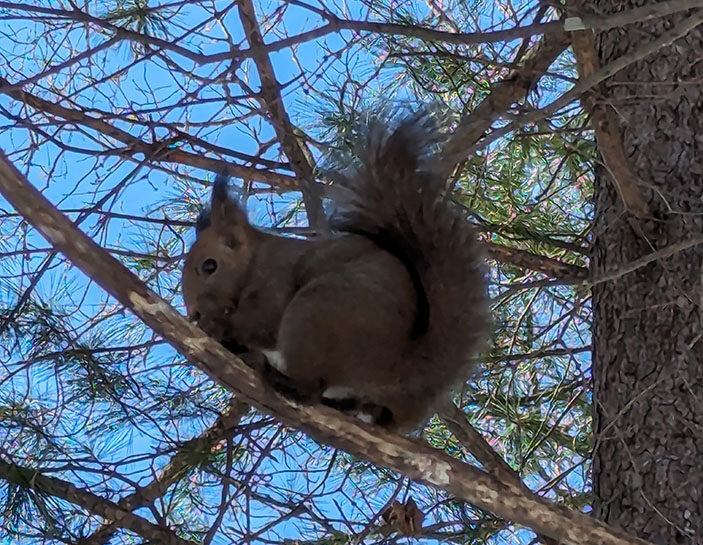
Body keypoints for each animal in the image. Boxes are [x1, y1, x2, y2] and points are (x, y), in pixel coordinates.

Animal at [182, 111, 490, 434]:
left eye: (210, 266)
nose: (195, 313)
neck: (252, 262)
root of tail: (400, 371)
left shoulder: (274, 278)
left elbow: (261, 323)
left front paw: (216, 326)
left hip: (316, 314)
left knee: (310, 389)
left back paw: (278, 377)